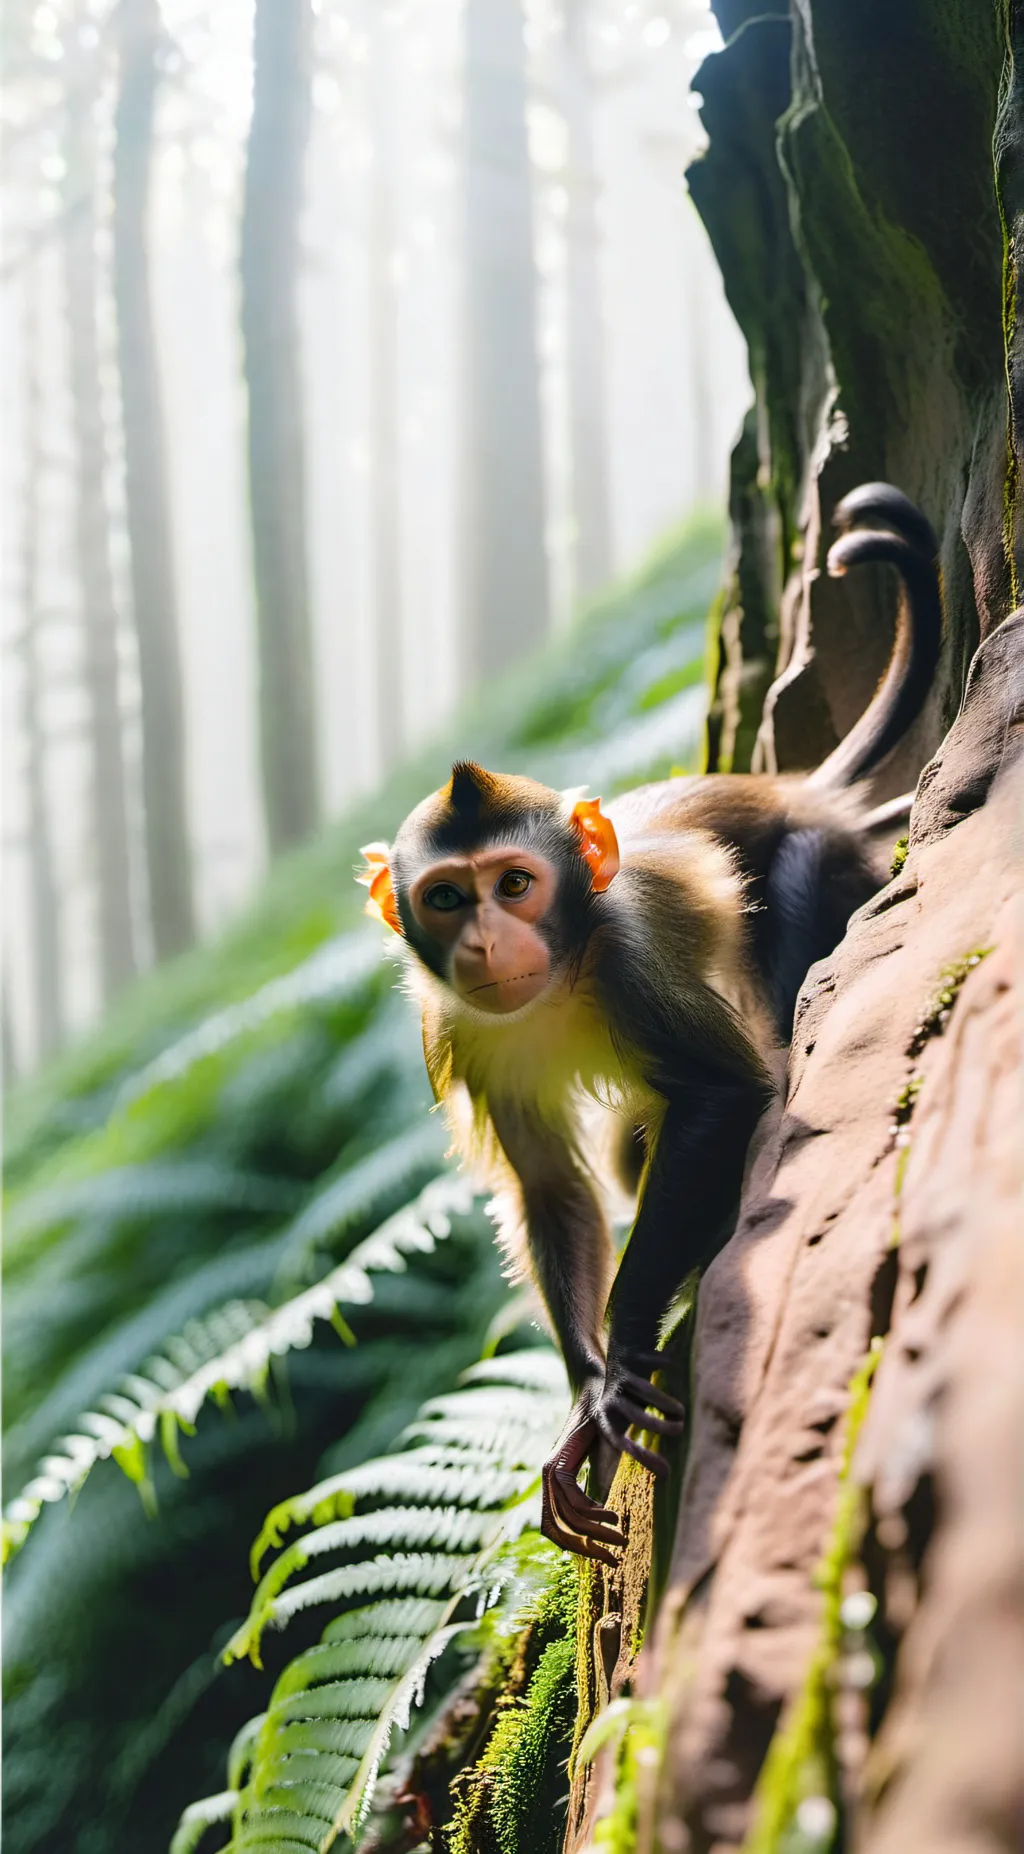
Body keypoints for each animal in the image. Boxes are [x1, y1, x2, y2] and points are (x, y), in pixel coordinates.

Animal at [356, 484, 942, 1564]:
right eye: (448, 898)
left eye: (515, 885)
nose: (487, 942)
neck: (561, 975)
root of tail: (796, 787)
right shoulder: (455, 1028)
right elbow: (552, 1188)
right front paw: (587, 1384)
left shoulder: (628, 953)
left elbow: (722, 1094)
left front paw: (624, 1354)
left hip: (817, 850)